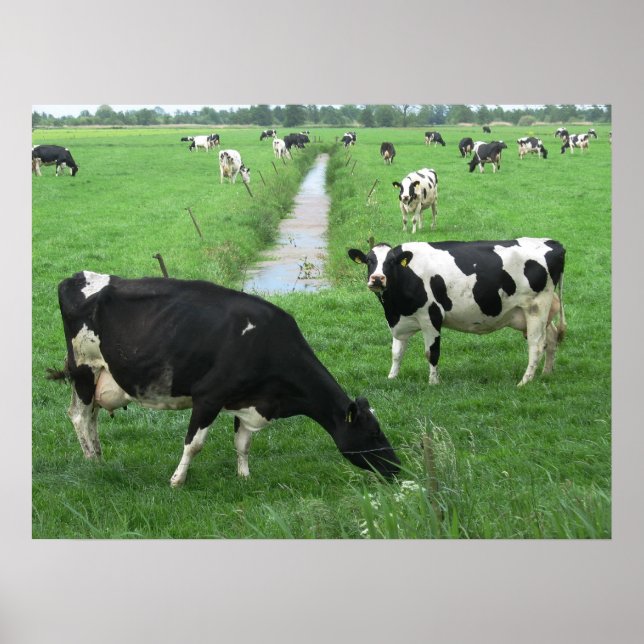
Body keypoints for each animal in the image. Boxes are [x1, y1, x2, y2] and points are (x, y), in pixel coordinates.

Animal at [47, 272, 400, 486]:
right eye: (373, 433)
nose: (398, 468)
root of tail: (76, 277)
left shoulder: (248, 399)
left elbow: (243, 443)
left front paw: (244, 477)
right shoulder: (208, 396)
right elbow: (194, 444)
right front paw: (177, 481)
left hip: (98, 375)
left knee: (88, 417)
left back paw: (98, 457)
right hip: (84, 368)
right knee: (80, 417)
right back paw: (92, 462)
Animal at [347, 238, 566, 387]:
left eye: (391, 262)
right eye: (369, 261)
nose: (377, 279)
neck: (394, 308)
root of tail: (553, 243)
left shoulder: (431, 316)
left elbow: (432, 352)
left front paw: (433, 382)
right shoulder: (401, 320)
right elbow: (396, 353)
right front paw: (392, 378)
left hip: (536, 307)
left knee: (537, 345)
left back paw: (524, 381)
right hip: (542, 312)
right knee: (551, 338)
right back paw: (547, 373)